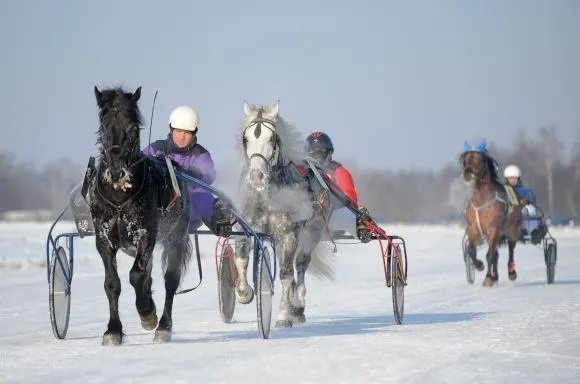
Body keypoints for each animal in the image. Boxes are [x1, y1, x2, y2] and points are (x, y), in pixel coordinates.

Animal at [89, 87, 191, 344]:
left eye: (133, 128)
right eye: (104, 126)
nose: (117, 172)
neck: (119, 197)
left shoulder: (145, 234)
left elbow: (136, 275)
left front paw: (147, 313)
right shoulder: (104, 238)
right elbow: (112, 283)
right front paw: (113, 330)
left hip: (176, 237)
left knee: (170, 281)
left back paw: (163, 325)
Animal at [236, 101, 334, 328]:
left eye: (271, 138)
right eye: (246, 139)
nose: (256, 176)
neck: (268, 197)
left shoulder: (290, 235)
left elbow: (286, 275)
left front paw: (283, 314)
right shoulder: (249, 227)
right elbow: (241, 258)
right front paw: (244, 293)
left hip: (311, 233)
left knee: (299, 265)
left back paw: (296, 307)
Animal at [460, 148, 524, 286]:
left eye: (478, 160)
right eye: (465, 161)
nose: (467, 173)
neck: (481, 201)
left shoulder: (494, 230)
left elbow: (489, 256)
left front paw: (488, 278)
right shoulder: (473, 229)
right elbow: (471, 251)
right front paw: (479, 265)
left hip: (512, 231)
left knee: (510, 250)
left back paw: (511, 273)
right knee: (495, 254)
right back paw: (495, 276)